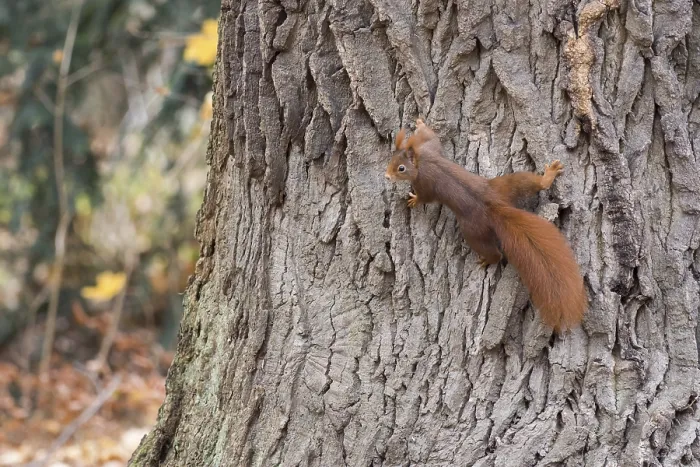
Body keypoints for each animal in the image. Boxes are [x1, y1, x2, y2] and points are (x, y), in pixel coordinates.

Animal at [385, 119, 586, 332]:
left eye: (401, 169)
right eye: (391, 160)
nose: (387, 176)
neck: (421, 162)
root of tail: (495, 207)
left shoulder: (424, 183)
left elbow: (425, 197)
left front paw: (414, 200)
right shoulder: (429, 149)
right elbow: (432, 138)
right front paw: (421, 124)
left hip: (473, 231)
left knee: (494, 252)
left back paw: (487, 259)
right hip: (506, 185)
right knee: (533, 183)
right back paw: (548, 176)